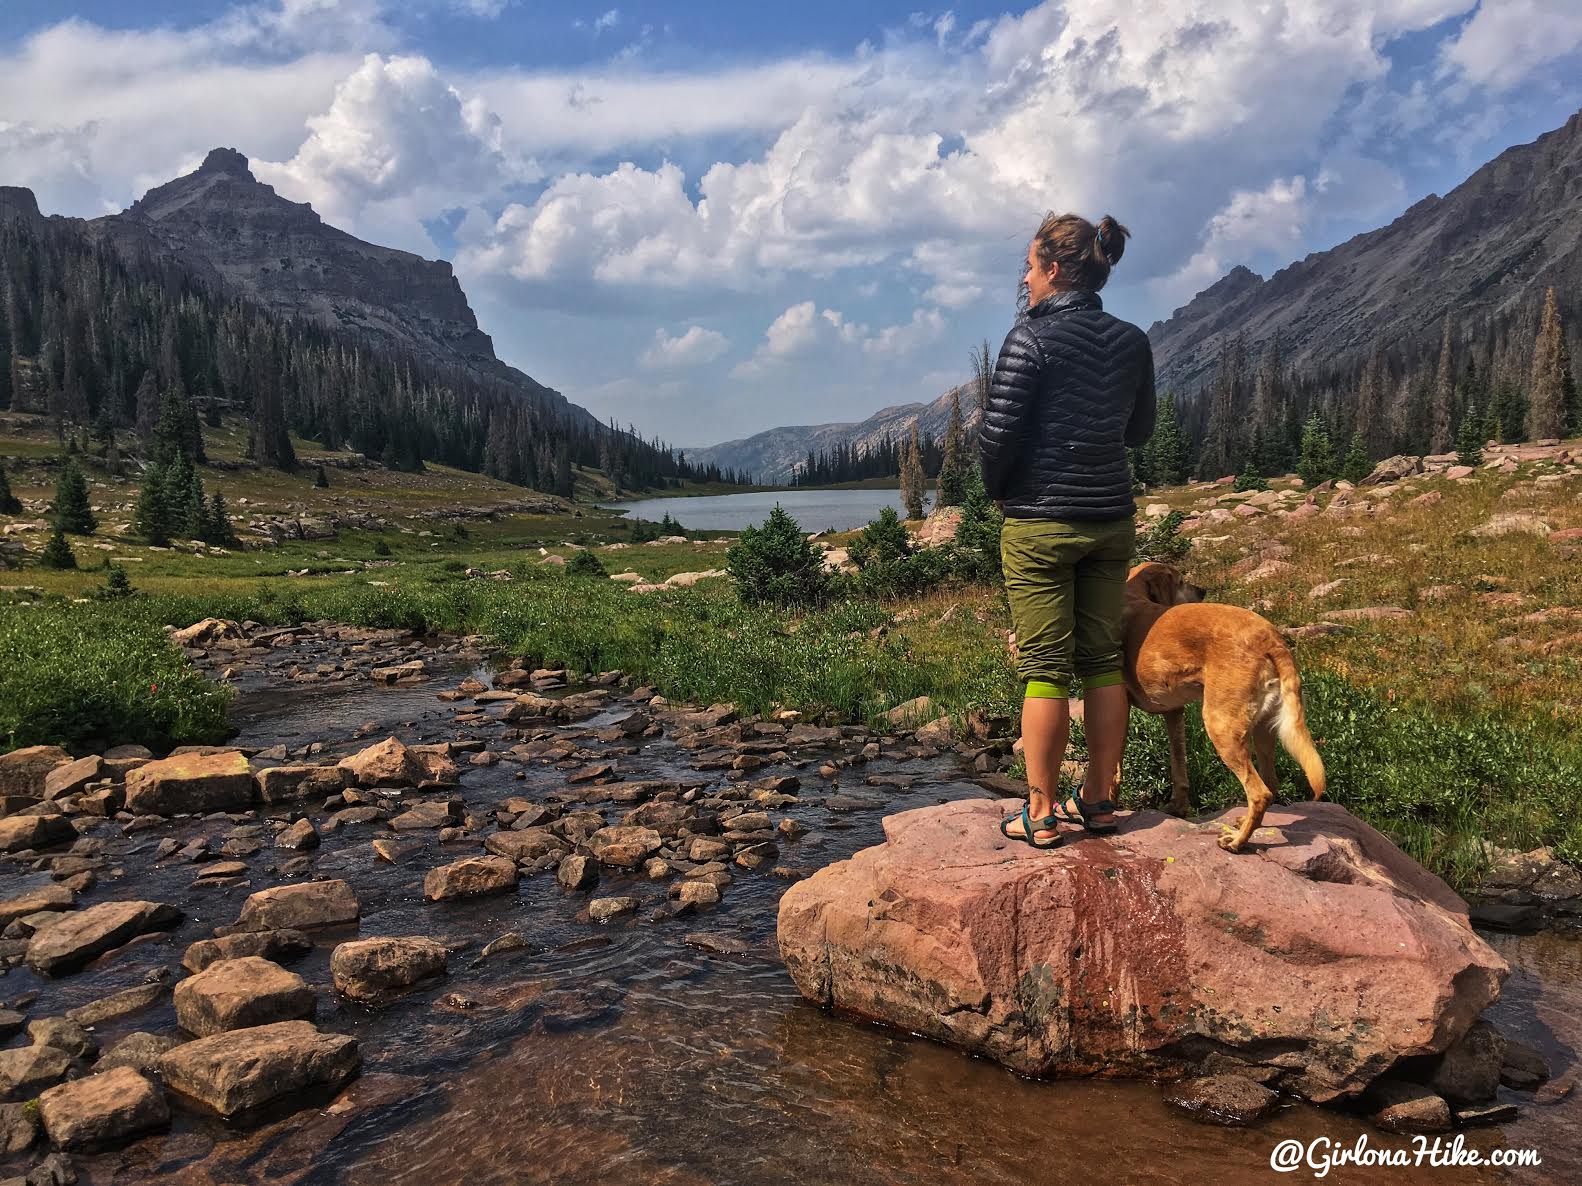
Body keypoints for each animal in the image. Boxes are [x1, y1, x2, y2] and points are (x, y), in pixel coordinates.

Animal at [1120, 566, 1328, 853]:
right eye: (1181, 581)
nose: (1202, 591)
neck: (1133, 594)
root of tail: (1270, 637)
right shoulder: (1174, 713)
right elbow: (1178, 765)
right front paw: (1177, 807)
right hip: (1263, 729)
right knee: (1271, 783)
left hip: (1220, 726)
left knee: (1259, 792)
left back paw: (1237, 841)